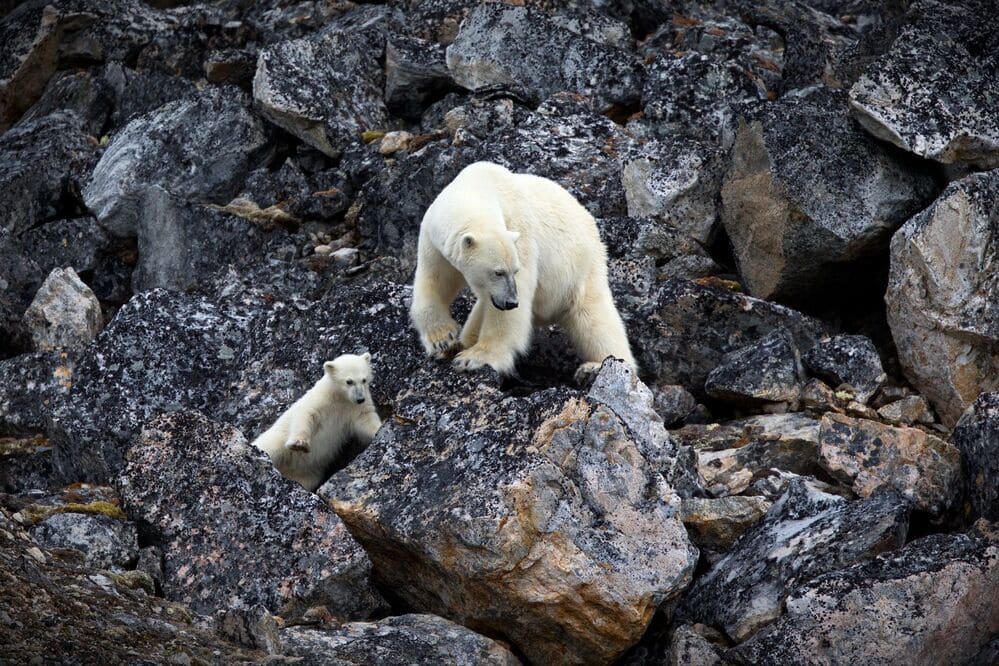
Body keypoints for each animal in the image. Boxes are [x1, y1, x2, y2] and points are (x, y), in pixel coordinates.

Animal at [254, 352, 382, 488]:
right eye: (349, 381)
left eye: (364, 379)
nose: (360, 399)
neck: (340, 397)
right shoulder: (322, 400)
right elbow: (306, 414)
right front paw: (299, 444)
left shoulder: (354, 408)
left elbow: (365, 420)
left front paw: (379, 429)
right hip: (277, 439)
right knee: (270, 448)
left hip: (307, 473)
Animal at [410, 159, 636, 382]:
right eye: (498, 272)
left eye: (514, 270)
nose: (511, 302)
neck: (476, 187)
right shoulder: (434, 241)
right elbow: (435, 280)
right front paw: (443, 340)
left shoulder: (520, 234)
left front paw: (474, 358)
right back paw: (462, 342)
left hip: (582, 269)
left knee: (594, 318)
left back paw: (596, 367)